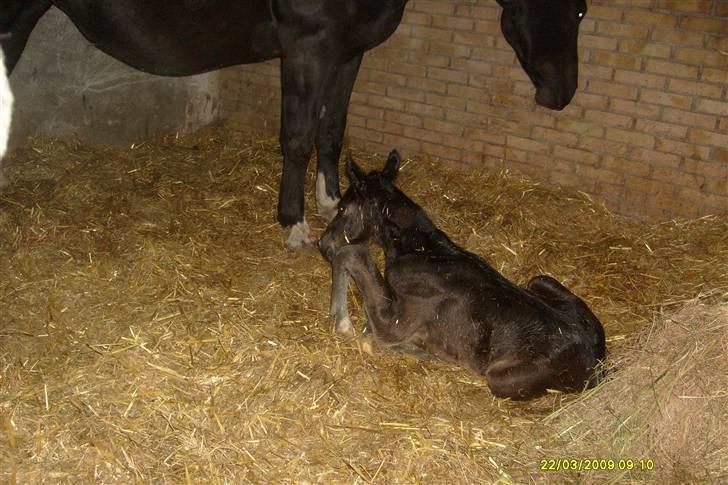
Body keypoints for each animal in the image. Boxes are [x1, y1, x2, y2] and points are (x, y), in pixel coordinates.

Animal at [318, 150, 604, 398]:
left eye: (342, 208)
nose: (322, 244)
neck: (422, 249)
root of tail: (598, 362)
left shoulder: (392, 324)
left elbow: (351, 253)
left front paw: (342, 321)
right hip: (540, 279)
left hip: (501, 380)